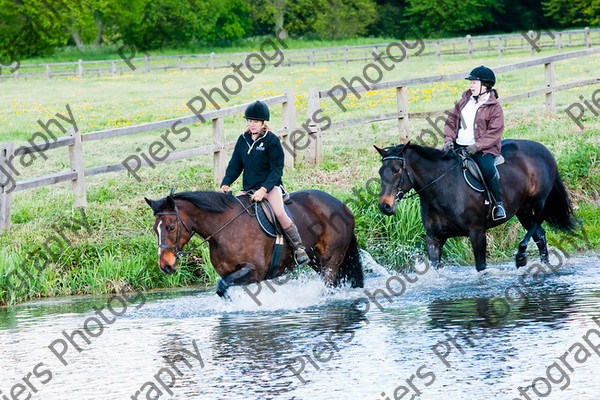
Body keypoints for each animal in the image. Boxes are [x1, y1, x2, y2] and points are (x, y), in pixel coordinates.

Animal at [145, 190, 364, 296]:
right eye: (155, 228)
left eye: (171, 227)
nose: (165, 266)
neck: (224, 229)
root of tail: (342, 205)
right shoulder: (230, 273)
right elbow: (223, 287)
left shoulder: (255, 271)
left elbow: (222, 286)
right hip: (316, 261)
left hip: (330, 260)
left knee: (330, 284)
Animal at [378, 138, 580, 272]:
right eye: (380, 172)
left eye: (396, 170)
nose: (384, 206)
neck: (441, 188)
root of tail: (543, 149)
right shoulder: (434, 238)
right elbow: (435, 267)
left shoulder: (477, 232)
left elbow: (481, 267)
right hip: (521, 210)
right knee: (540, 235)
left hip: (538, 202)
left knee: (538, 222)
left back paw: (521, 256)